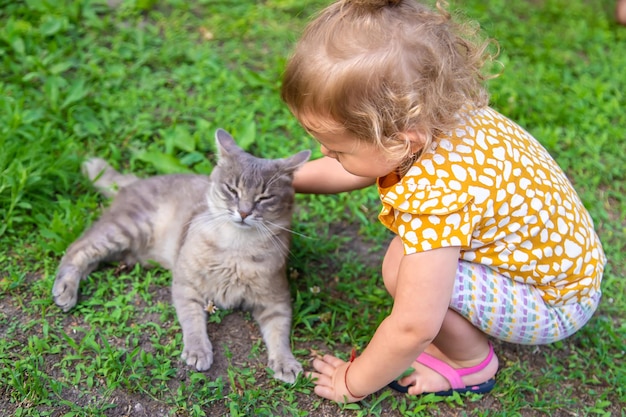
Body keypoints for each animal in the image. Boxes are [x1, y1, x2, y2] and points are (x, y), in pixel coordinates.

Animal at [52, 128, 308, 382]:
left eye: (264, 197)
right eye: (232, 189)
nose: (244, 212)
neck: (236, 248)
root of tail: (134, 182)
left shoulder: (276, 301)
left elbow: (279, 334)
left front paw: (285, 363)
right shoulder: (186, 285)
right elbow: (192, 321)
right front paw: (198, 350)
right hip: (125, 229)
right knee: (77, 248)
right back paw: (65, 290)